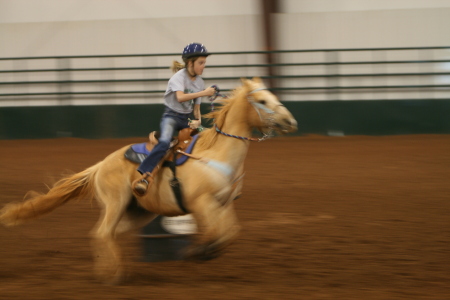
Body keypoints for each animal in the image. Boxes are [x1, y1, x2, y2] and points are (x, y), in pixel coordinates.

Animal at [0, 78, 298, 284]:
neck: (216, 153)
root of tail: (100, 165)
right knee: (101, 232)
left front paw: (206, 252)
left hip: (138, 212)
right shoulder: (201, 203)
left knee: (110, 234)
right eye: (262, 101)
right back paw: (113, 275)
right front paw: (195, 252)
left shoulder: (223, 204)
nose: (290, 121)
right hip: (115, 203)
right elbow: (215, 232)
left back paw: (116, 270)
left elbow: (229, 232)